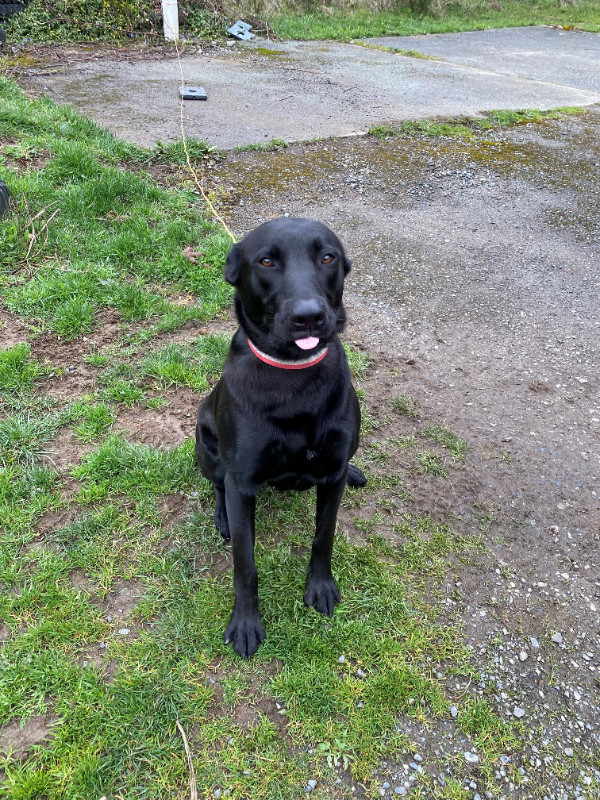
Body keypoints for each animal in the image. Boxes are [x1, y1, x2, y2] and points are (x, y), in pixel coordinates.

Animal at [197, 217, 366, 656]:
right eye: (267, 261)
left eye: (328, 258)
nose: (309, 316)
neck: (294, 377)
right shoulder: (242, 482)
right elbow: (245, 563)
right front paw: (245, 622)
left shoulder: (331, 477)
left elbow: (324, 535)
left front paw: (320, 587)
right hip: (205, 443)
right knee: (217, 485)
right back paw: (222, 517)